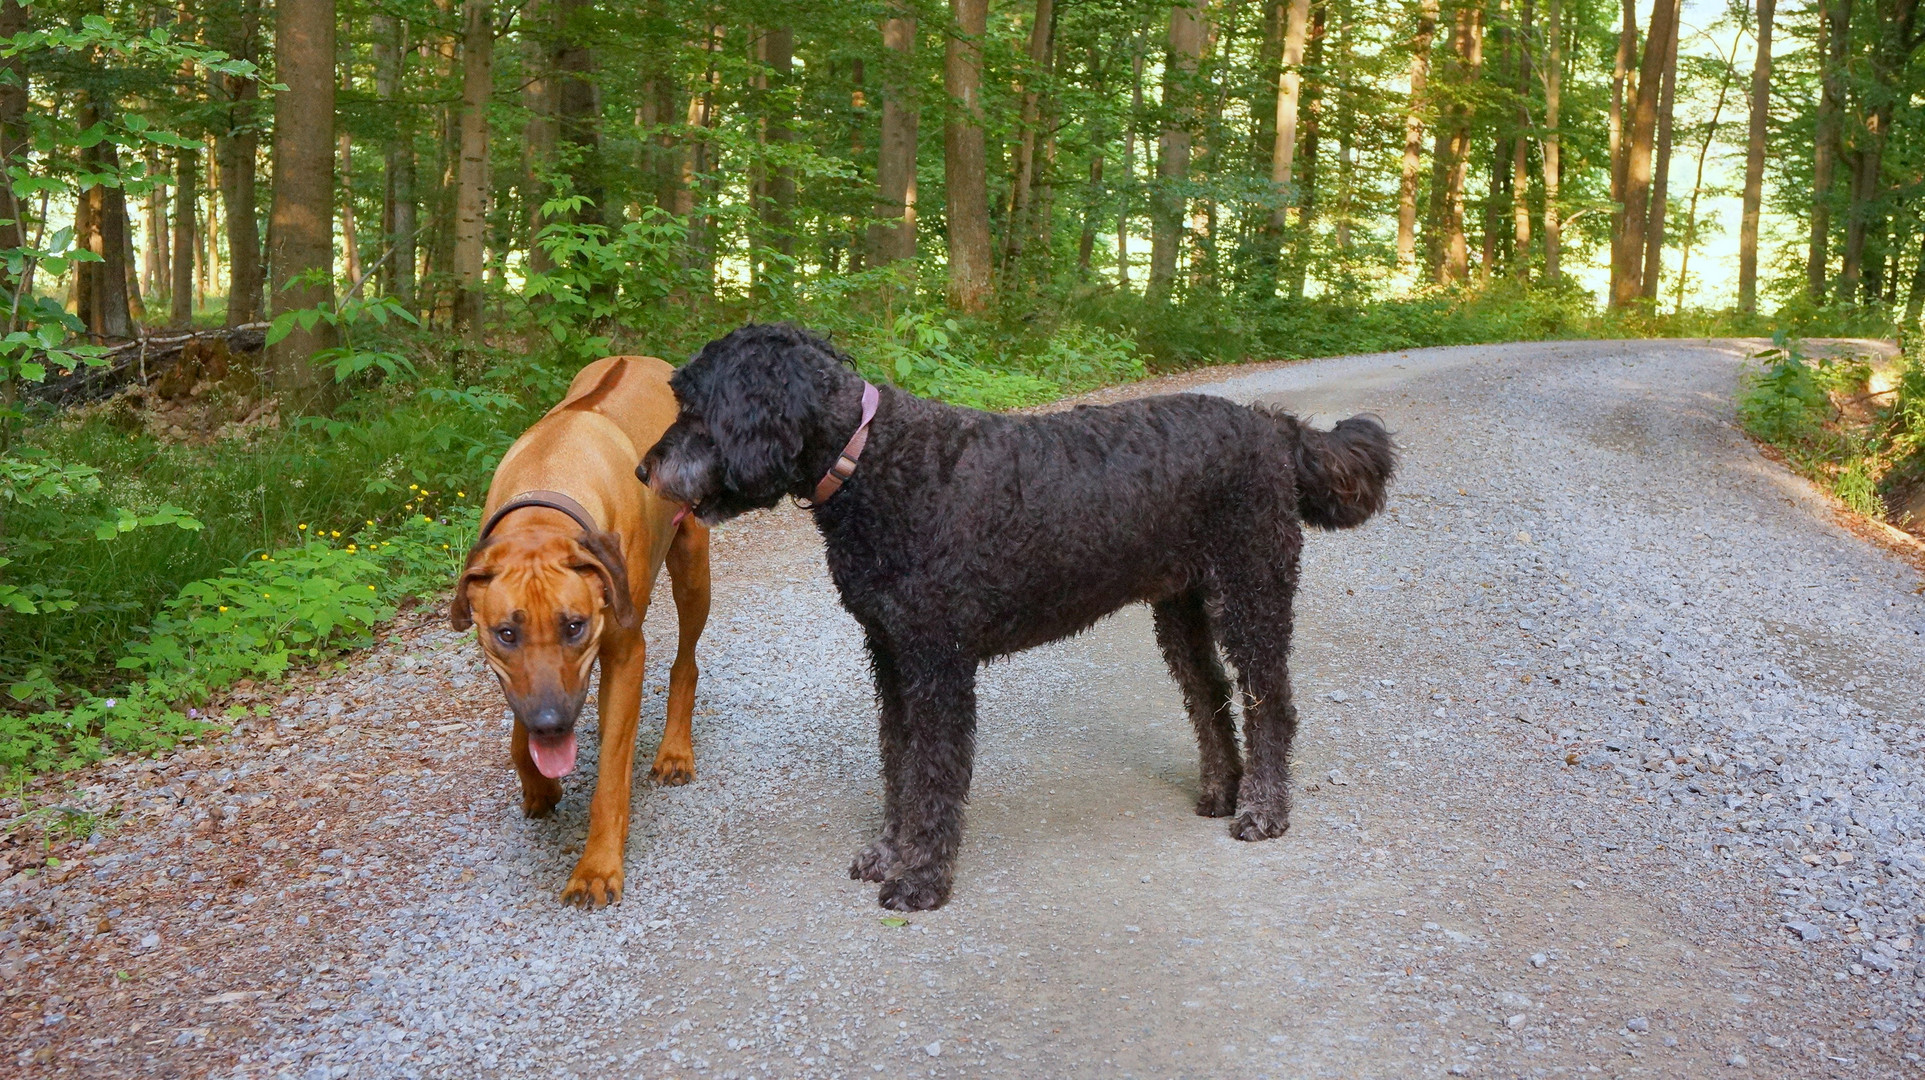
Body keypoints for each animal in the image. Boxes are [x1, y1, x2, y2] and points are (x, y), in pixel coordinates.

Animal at [448, 354, 708, 900]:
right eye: (506, 634)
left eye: (574, 626)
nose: (551, 723)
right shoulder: (521, 682)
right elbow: (519, 737)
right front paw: (539, 784)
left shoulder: (625, 650)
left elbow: (610, 778)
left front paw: (598, 867)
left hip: (693, 565)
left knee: (686, 663)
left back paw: (675, 749)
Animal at [639, 321, 1393, 908]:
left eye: (696, 406)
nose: (646, 470)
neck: (876, 464)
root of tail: (1272, 425)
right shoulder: (891, 655)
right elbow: (898, 765)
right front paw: (890, 851)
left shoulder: (937, 663)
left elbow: (933, 774)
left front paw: (921, 877)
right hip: (1181, 611)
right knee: (1207, 697)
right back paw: (1220, 789)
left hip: (1252, 594)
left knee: (1272, 704)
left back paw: (1263, 809)